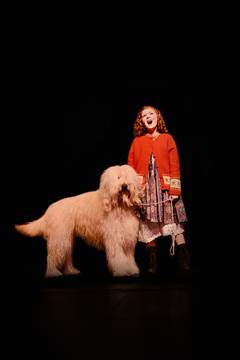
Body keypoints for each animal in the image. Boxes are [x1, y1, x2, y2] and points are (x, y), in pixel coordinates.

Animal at [15, 165, 143, 278]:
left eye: (126, 177)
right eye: (118, 177)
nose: (124, 185)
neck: (119, 206)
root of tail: (50, 210)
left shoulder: (127, 238)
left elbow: (128, 257)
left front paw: (131, 270)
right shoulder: (114, 239)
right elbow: (118, 257)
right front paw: (122, 271)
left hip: (67, 239)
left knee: (66, 257)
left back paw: (71, 271)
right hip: (59, 238)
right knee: (52, 256)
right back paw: (52, 273)